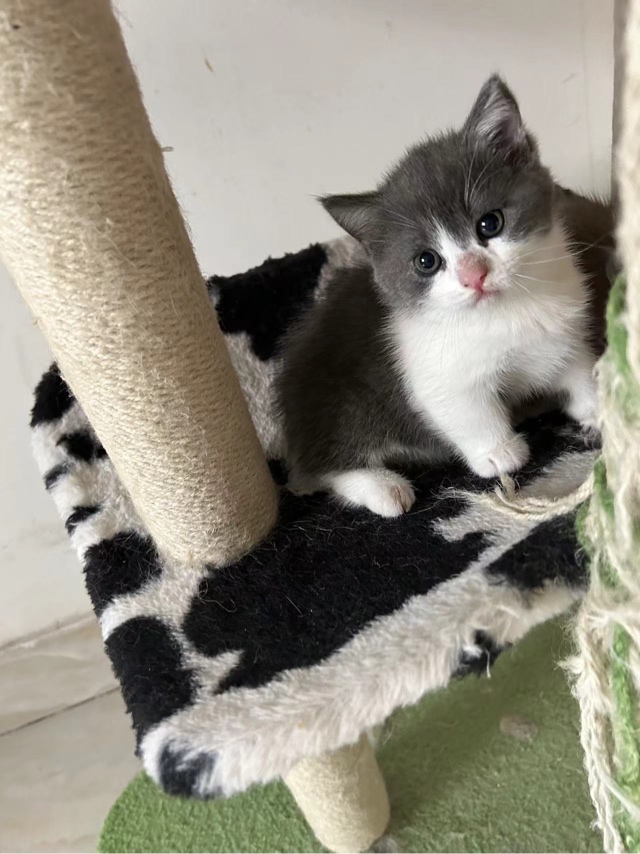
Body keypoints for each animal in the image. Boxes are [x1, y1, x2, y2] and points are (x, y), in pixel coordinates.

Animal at [276, 74, 604, 518]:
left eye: (490, 223)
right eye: (426, 261)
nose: (474, 275)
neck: (509, 308)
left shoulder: (565, 328)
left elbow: (576, 366)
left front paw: (598, 405)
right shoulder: (437, 371)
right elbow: (465, 408)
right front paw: (500, 452)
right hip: (342, 403)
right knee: (322, 469)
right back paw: (383, 488)